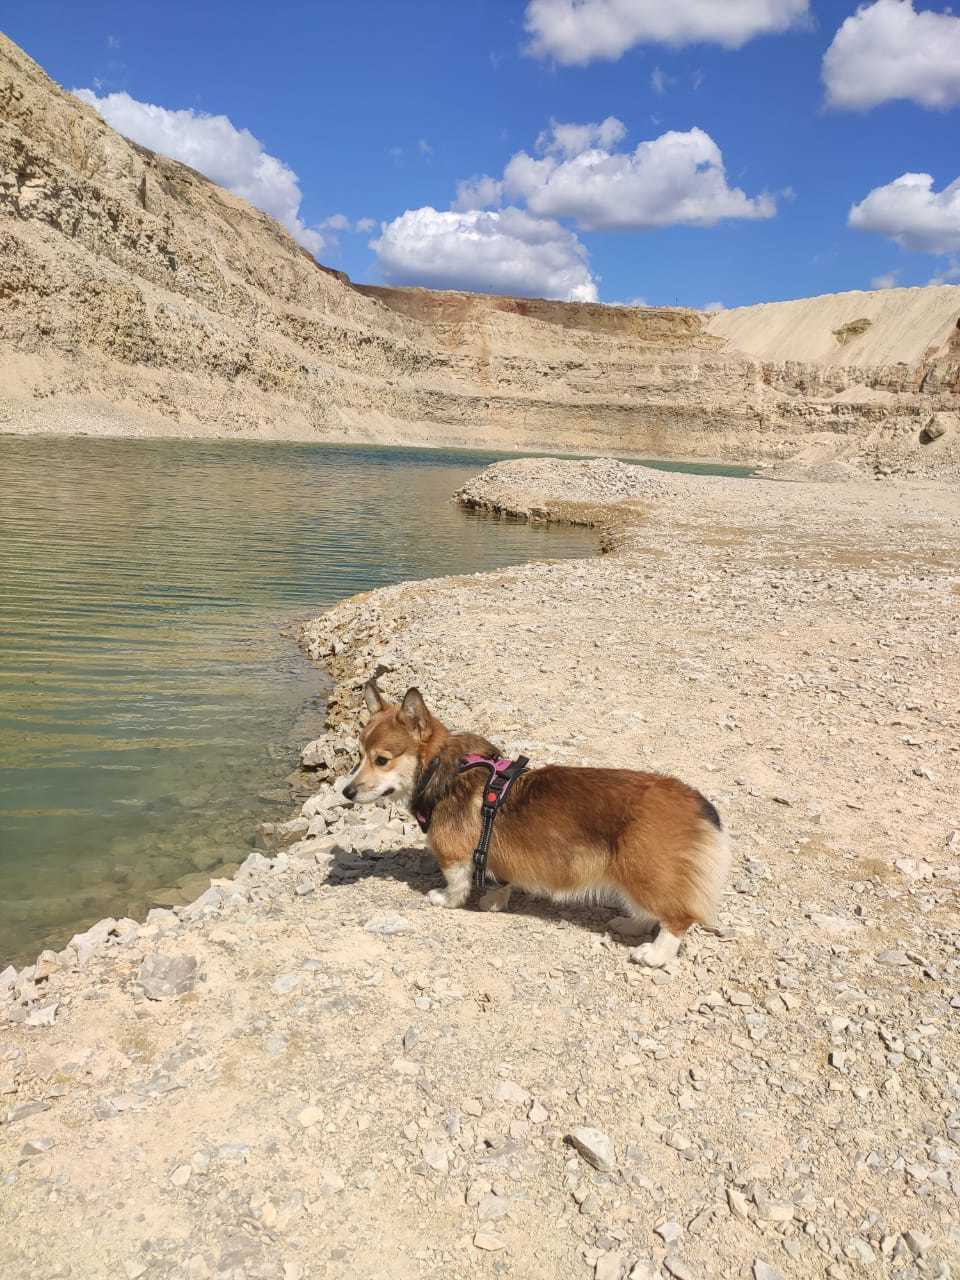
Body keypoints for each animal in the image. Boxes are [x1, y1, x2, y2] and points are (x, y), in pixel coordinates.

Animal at [343, 680, 727, 967]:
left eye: (382, 760)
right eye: (358, 755)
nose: (346, 791)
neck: (440, 768)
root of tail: (695, 802)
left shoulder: (453, 854)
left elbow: (457, 882)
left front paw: (446, 899)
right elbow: (502, 878)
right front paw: (495, 900)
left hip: (642, 869)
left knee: (676, 918)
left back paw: (654, 955)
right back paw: (630, 924)